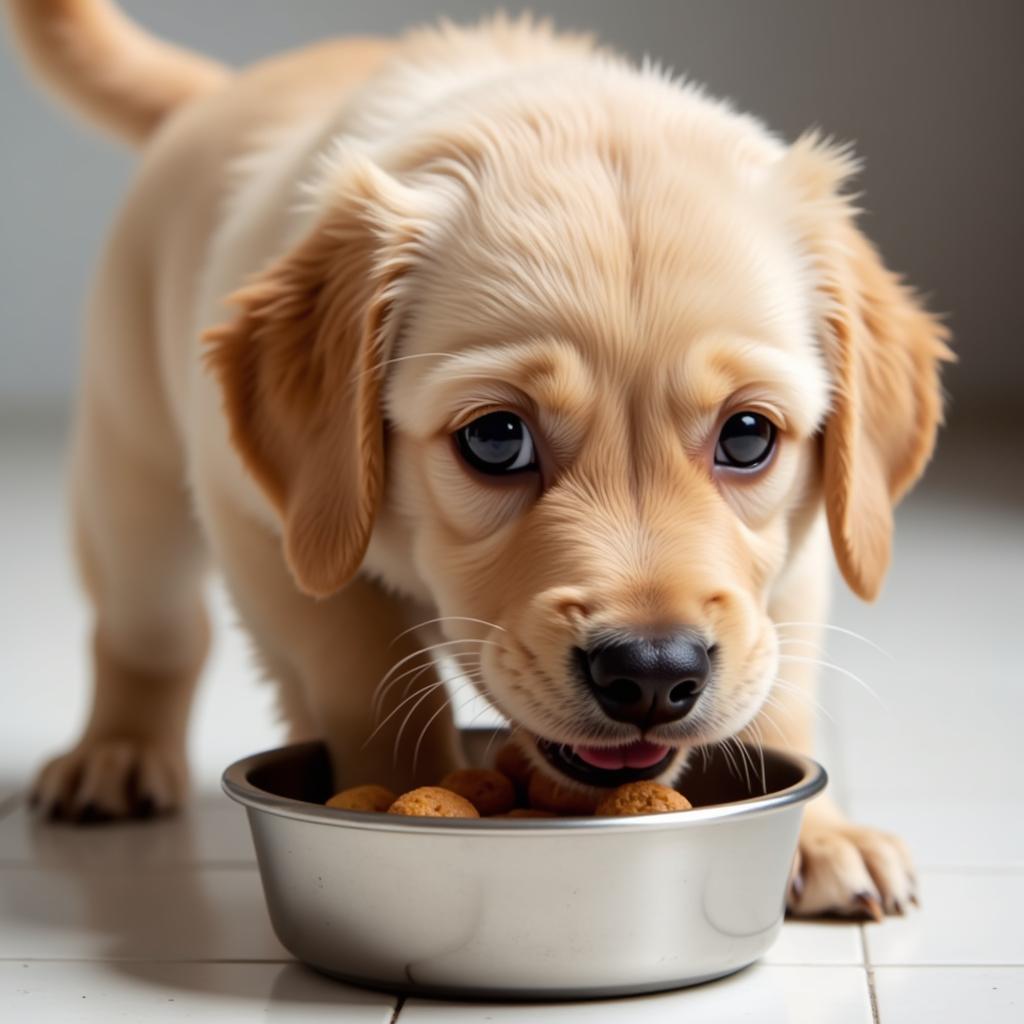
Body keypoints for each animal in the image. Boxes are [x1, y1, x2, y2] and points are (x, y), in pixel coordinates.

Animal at [9, 2, 950, 921]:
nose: (651, 676)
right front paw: (410, 795)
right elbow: (364, 669)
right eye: (498, 439)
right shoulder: (261, 519)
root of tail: (220, 91)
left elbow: (780, 683)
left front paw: (823, 836)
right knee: (151, 629)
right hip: (131, 463)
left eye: (748, 436)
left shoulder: (804, 552)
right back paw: (117, 751)